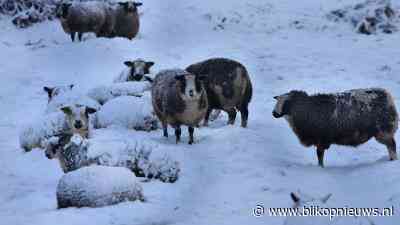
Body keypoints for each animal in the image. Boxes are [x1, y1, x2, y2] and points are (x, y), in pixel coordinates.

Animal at [270, 89, 398, 168]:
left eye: (286, 103)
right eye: (277, 101)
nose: (274, 113)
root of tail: (387, 96)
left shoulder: (321, 140)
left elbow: (319, 156)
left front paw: (320, 168)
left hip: (384, 131)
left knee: (392, 146)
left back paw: (393, 160)